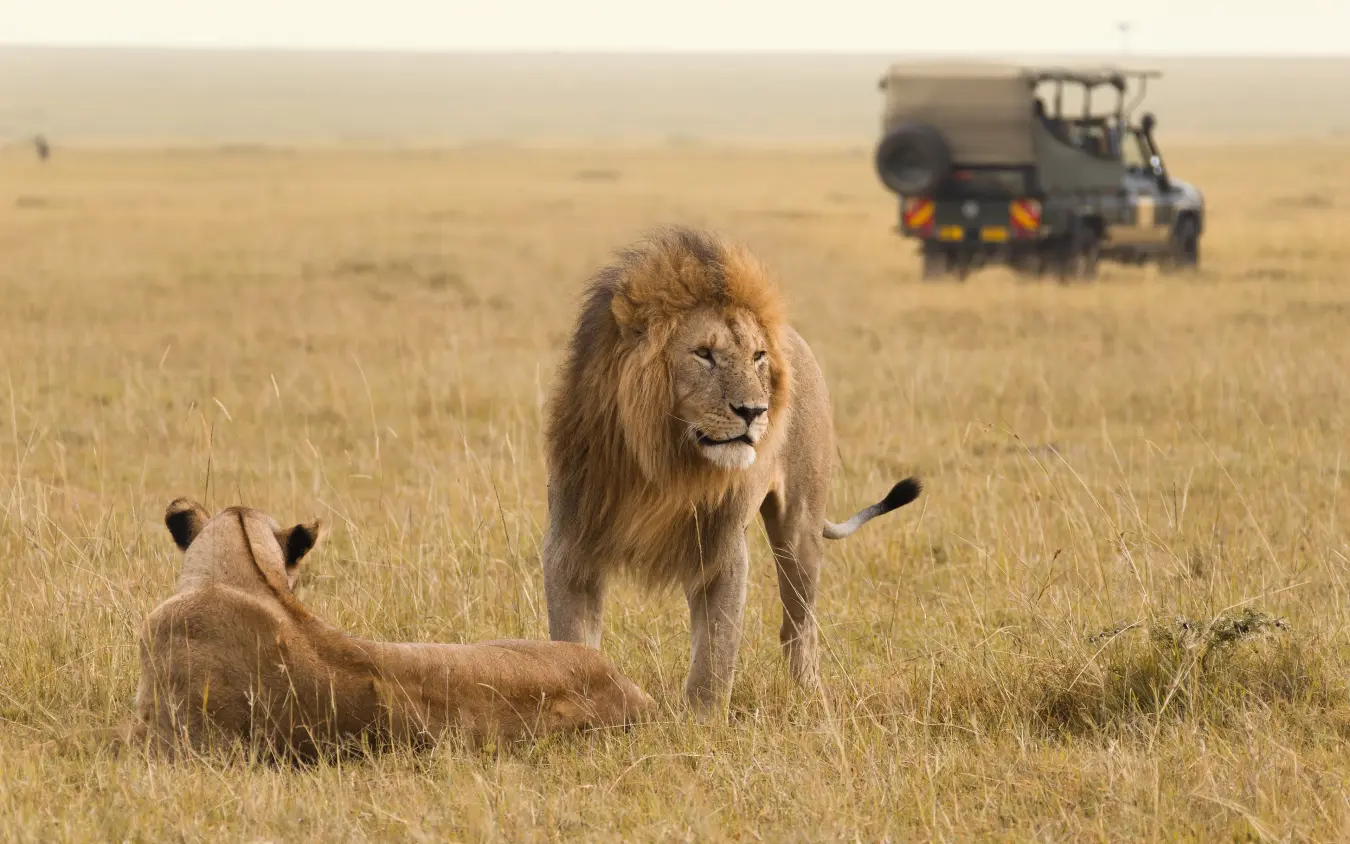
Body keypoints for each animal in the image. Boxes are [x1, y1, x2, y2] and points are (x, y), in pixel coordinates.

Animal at [542, 226, 922, 715]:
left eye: (757, 356)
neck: (663, 464)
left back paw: (810, 698)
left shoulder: (722, 550)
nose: (754, 411)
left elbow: (715, 654)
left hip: (799, 528)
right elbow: (572, 642)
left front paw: (701, 723)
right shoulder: (570, 544)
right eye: (704, 354)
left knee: (798, 626)